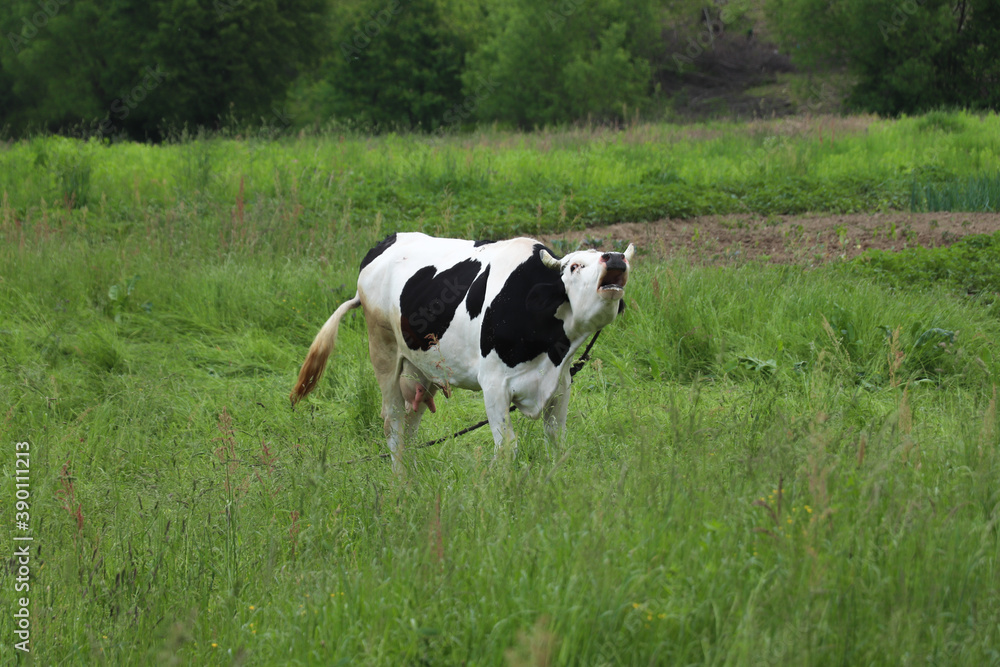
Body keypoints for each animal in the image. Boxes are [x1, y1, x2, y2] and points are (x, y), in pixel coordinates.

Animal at [290, 234, 632, 470]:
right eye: (575, 266)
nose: (615, 257)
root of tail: (384, 243)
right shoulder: (493, 384)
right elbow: (506, 447)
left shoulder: (560, 384)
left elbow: (556, 441)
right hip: (383, 350)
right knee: (394, 423)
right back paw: (400, 484)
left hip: (420, 369)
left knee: (410, 428)